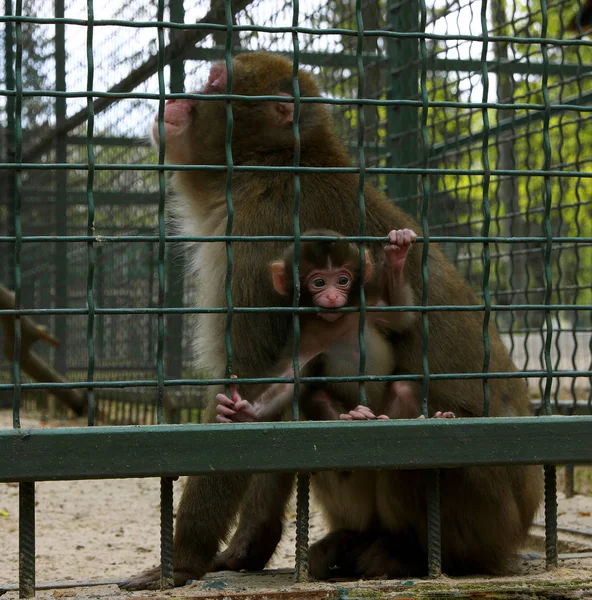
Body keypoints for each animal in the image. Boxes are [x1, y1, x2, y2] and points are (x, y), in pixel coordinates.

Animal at [215, 229, 432, 422]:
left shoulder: (369, 310)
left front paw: (397, 252)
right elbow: (288, 379)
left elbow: (401, 314)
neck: (334, 322)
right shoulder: (303, 339)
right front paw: (243, 412)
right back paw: (353, 416)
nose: (332, 296)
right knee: (318, 397)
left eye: (342, 280)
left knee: (403, 388)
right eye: (319, 282)